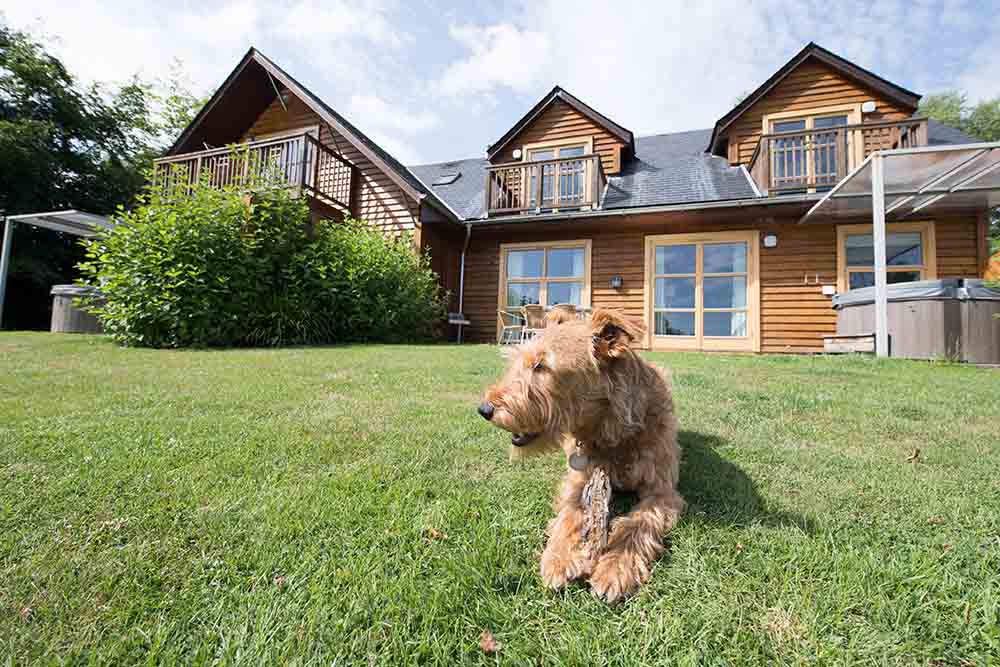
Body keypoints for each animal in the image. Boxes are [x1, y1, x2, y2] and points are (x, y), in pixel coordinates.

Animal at [478, 310, 684, 604]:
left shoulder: (662, 491)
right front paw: (560, 558)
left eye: (541, 365)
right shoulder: (577, 480)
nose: (484, 409)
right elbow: (570, 514)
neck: (611, 435)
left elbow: (636, 524)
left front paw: (615, 568)